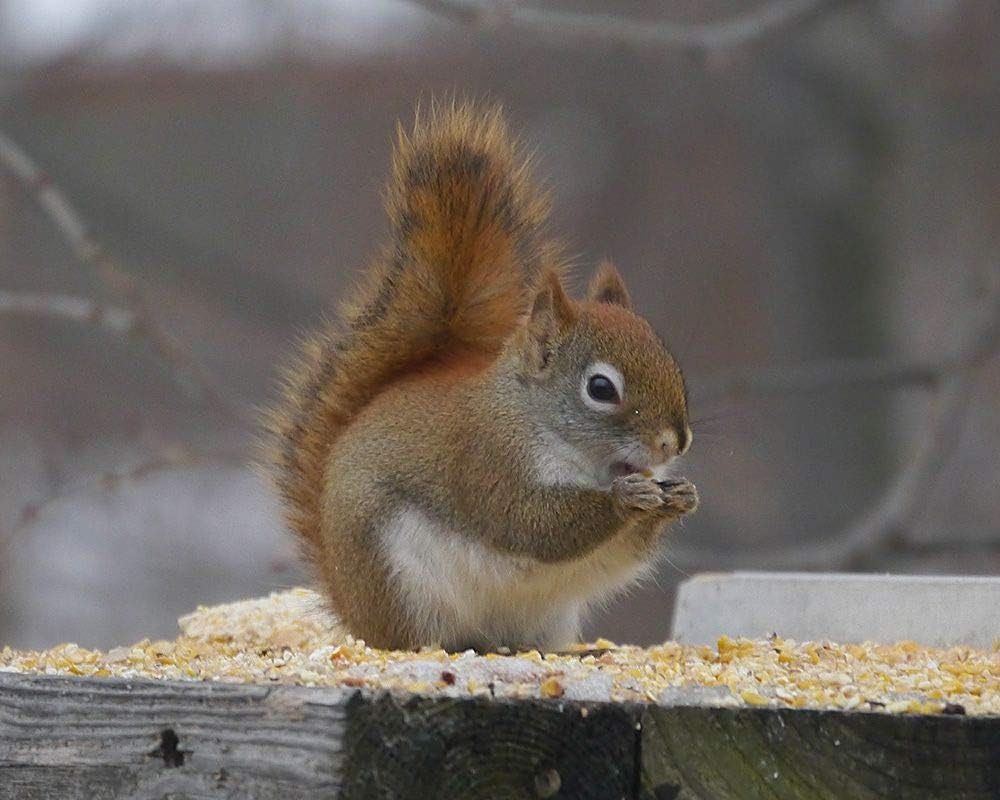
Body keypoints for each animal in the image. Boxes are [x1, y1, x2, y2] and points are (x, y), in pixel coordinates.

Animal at [266, 102, 697, 652]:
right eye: (600, 388)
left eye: (670, 361)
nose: (673, 443)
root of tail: (353, 612)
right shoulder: (487, 461)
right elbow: (533, 524)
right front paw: (626, 501)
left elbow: (625, 553)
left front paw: (679, 497)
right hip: (402, 584)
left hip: (547, 616)